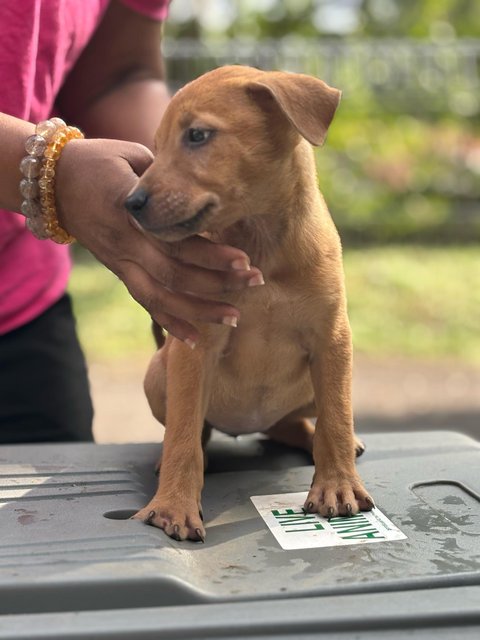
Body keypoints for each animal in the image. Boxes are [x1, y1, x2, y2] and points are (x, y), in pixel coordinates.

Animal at [125, 66, 374, 540]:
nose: (130, 203)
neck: (260, 244)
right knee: (197, 431)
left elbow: (336, 415)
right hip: (158, 374)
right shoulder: (194, 345)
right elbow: (183, 434)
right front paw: (173, 505)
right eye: (157, 146)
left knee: (296, 423)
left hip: (314, 382)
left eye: (197, 135)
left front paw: (337, 485)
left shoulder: (332, 339)